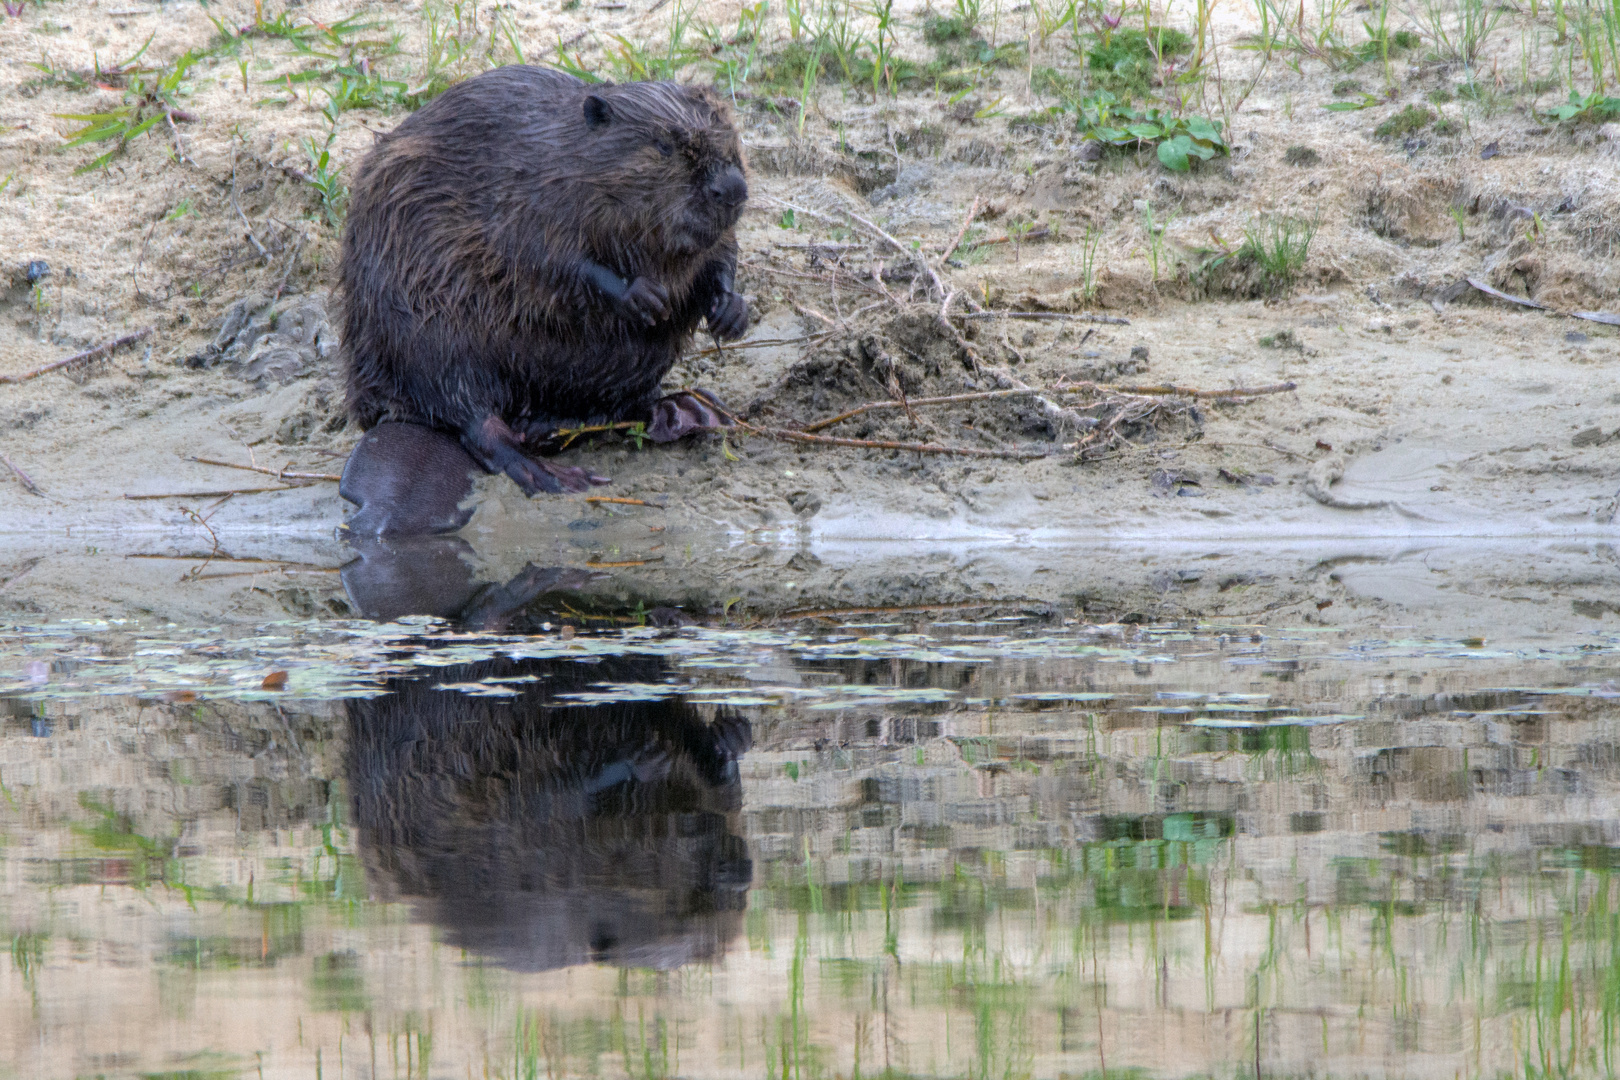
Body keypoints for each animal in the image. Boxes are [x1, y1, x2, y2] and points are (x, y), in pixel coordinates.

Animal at [340, 63, 751, 495]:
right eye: (664, 146)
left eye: (730, 134)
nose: (733, 188)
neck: (564, 150)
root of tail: (392, 416)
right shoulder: (526, 192)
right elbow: (546, 258)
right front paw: (644, 297)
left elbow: (722, 254)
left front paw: (731, 312)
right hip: (423, 332)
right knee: (472, 418)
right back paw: (553, 472)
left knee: (618, 407)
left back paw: (684, 410)